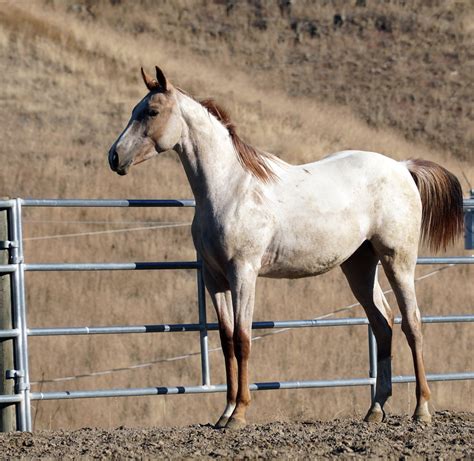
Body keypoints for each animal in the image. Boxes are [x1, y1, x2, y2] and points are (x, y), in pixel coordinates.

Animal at [106, 64, 462, 428]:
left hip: (398, 260)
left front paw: (240, 413)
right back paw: (375, 409)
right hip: (359, 266)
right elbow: (226, 339)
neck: (230, 188)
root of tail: (403, 167)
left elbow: (243, 339)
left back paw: (422, 409)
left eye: (152, 111)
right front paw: (225, 412)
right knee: (383, 324)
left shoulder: (243, 273)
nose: (114, 157)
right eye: (135, 110)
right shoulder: (214, 278)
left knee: (412, 323)